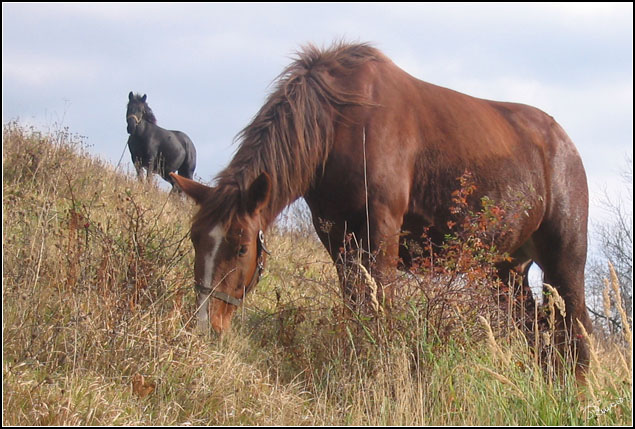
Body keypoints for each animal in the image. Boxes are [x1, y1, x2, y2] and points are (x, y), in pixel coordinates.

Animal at [171, 42, 592, 378]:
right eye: (195, 241)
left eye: (242, 247)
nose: (205, 326)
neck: (340, 122)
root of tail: (566, 144)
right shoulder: (338, 240)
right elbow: (356, 304)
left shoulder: (380, 233)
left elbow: (378, 308)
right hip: (506, 269)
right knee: (541, 333)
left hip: (563, 261)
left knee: (575, 332)